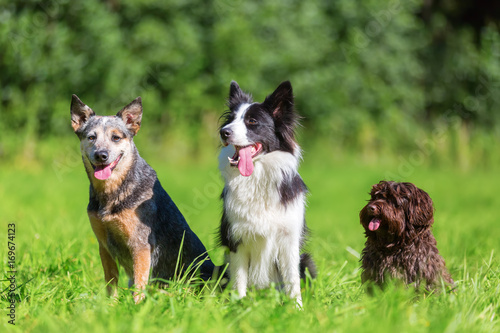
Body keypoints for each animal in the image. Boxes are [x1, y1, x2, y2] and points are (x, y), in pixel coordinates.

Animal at [71, 94, 217, 300]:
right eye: (91, 137)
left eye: (116, 137)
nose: (101, 155)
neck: (113, 193)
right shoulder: (104, 246)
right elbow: (111, 283)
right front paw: (110, 305)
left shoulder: (140, 245)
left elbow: (139, 285)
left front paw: (136, 306)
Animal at [217, 80, 314, 306]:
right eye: (231, 119)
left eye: (252, 121)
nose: (223, 132)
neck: (257, 177)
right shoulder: (236, 238)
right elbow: (239, 278)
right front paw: (239, 305)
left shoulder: (289, 239)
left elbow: (292, 280)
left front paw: (297, 308)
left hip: (306, 260)